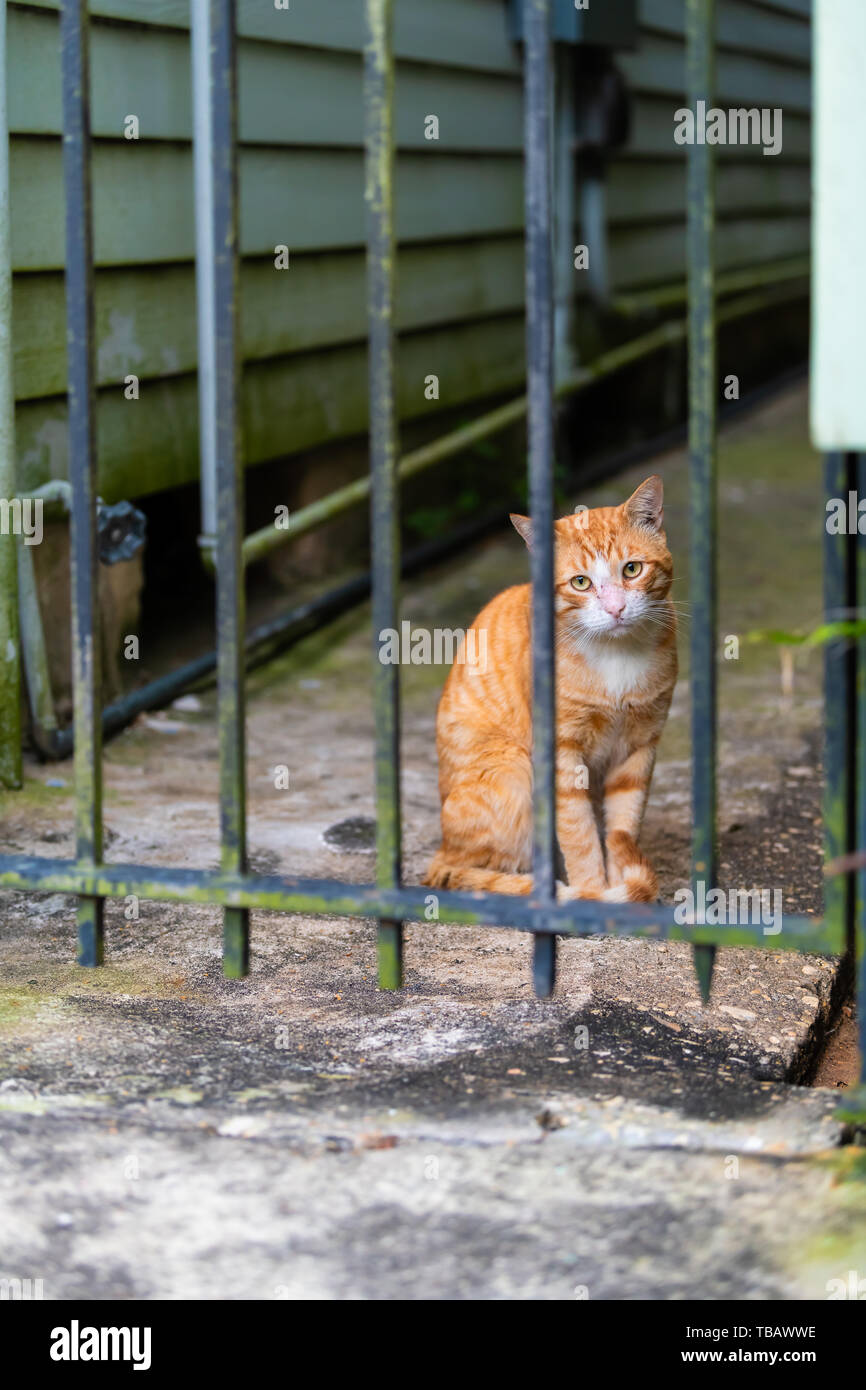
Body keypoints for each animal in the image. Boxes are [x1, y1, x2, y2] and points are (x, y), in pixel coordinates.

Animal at [428, 478, 678, 906]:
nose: (615, 609)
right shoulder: (562, 755)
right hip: (512, 771)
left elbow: (622, 827)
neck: (616, 655)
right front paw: (592, 893)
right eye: (581, 582)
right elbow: (579, 836)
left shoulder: (640, 747)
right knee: (468, 871)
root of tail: (443, 848)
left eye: (632, 569)